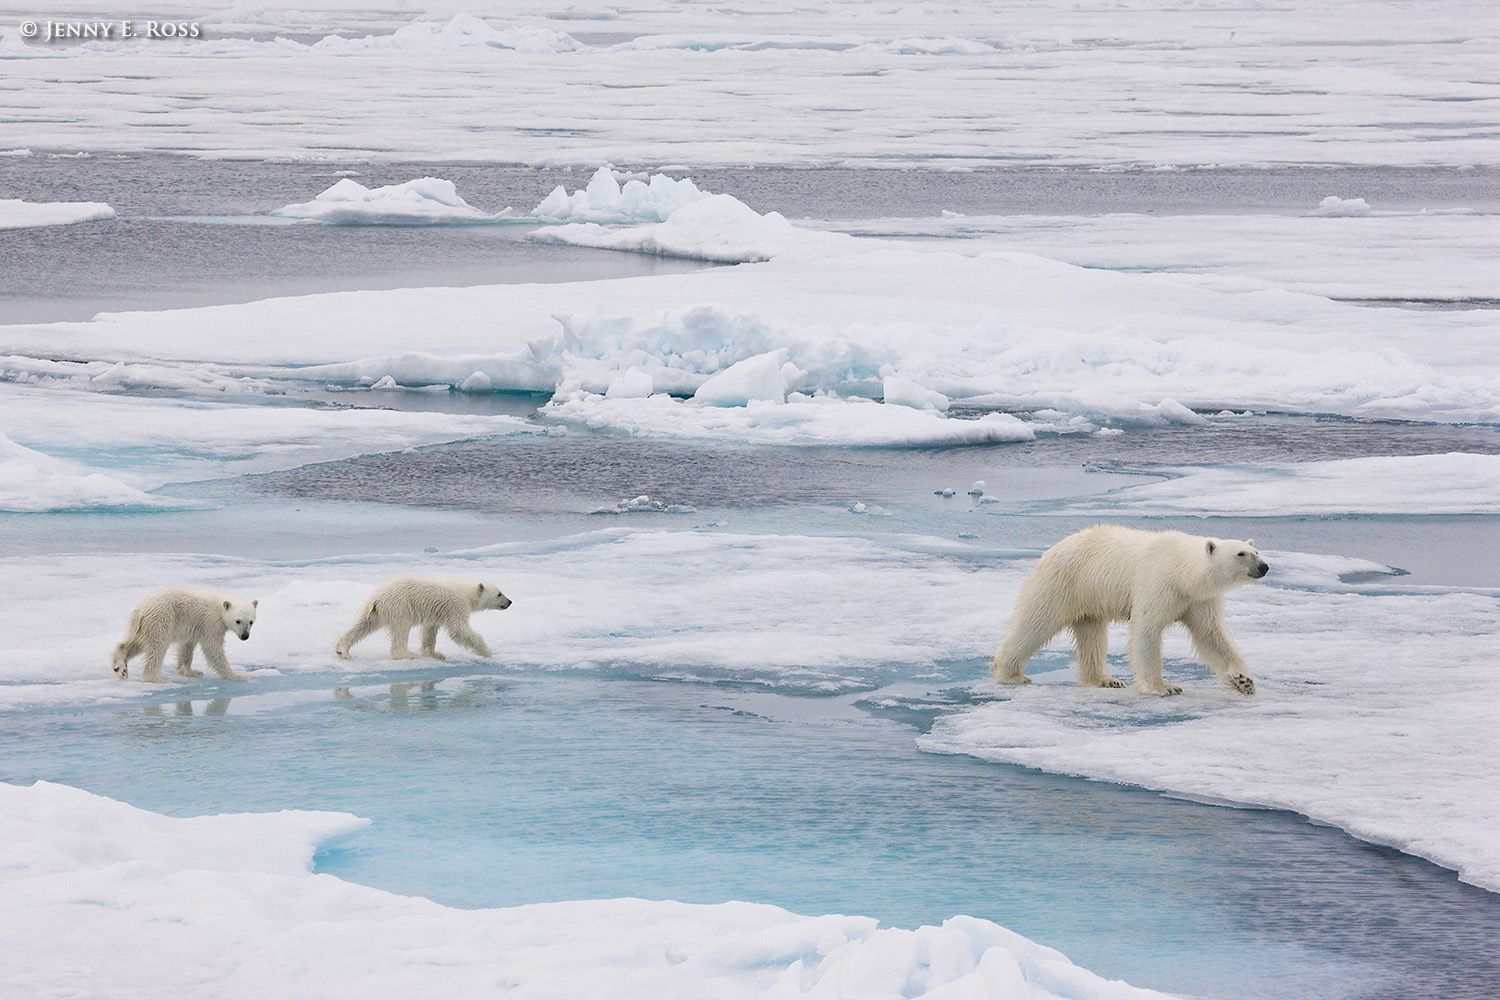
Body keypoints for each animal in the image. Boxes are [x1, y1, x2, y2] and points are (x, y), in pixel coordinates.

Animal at [111, 589, 259, 683]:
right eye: (238, 621)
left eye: (251, 621)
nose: (245, 636)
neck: (220, 607)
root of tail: (141, 610)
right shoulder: (211, 623)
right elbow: (212, 648)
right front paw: (236, 675)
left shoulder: (193, 628)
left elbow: (186, 647)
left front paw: (190, 671)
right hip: (161, 620)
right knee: (157, 647)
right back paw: (157, 678)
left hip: (142, 627)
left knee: (134, 644)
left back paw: (120, 668)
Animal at [334, 578, 512, 662]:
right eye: (499, 594)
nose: (509, 602)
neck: (466, 593)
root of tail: (376, 597)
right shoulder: (456, 606)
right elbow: (458, 630)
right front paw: (487, 651)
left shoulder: (437, 614)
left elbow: (429, 631)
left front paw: (436, 654)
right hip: (400, 607)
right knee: (401, 630)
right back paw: (408, 654)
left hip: (374, 611)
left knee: (363, 625)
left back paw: (342, 649)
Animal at [990, 525, 1268, 696]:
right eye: (1241, 554)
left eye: (1256, 551)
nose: (1264, 567)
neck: (1182, 571)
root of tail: (1051, 549)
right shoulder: (1158, 582)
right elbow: (1147, 628)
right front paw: (1163, 687)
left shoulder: (1199, 599)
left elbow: (1211, 635)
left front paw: (1244, 681)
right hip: (1063, 583)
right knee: (1035, 623)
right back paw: (1011, 674)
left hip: (1089, 597)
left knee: (1092, 634)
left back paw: (1104, 679)